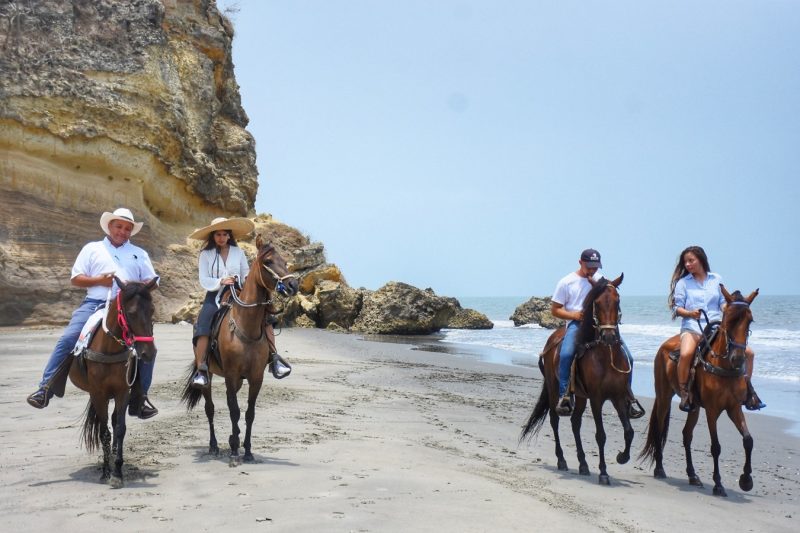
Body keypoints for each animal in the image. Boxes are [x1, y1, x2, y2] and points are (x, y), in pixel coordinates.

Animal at [67, 276, 159, 488]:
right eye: (131, 313)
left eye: (152, 310)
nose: (148, 353)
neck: (109, 349)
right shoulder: (98, 394)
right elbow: (104, 433)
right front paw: (106, 472)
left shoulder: (122, 392)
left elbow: (120, 429)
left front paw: (117, 471)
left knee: (116, 422)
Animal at [181, 235, 300, 464]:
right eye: (269, 261)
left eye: (285, 260)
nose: (293, 284)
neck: (246, 326)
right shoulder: (230, 374)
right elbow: (234, 411)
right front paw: (236, 451)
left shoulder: (255, 377)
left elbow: (249, 413)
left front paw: (247, 451)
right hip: (209, 375)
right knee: (210, 409)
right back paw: (214, 446)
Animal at [520, 276, 636, 484]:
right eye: (597, 303)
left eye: (617, 301)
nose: (609, 336)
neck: (605, 356)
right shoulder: (597, 398)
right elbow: (601, 435)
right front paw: (604, 473)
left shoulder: (618, 396)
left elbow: (629, 431)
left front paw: (622, 457)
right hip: (553, 388)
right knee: (554, 420)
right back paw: (562, 460)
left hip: (581, 396)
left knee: (575, 422)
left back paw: (583, 464)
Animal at [640, 284, 760, 496]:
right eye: (728, 320)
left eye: (750, 320)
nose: (738, 358)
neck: (724, 367)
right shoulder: (712, 410)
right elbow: (716, 447)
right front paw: (718, 484)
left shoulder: (734, 408)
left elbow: (748, 440)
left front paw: (746, 480)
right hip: (663, 397)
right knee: (660, 429)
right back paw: (660, 469)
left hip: (694, 407)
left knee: (687, 435)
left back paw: (692, 475)